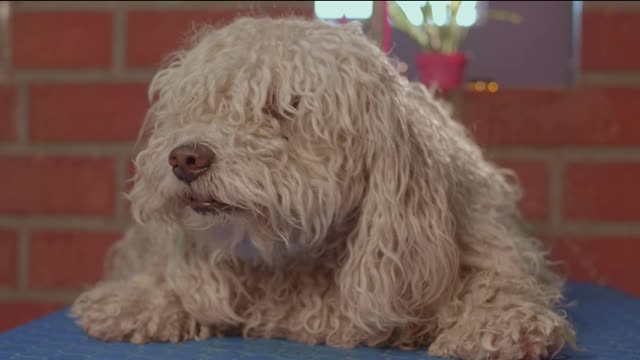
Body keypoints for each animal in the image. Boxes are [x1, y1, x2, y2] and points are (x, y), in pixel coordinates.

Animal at [70, 16, 576, 360]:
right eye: (196, 106)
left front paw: (503, 324)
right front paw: (136, 300)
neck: (299, 266)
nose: (185, 159)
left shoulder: (482, 238)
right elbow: (171, 282)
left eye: (284, 107)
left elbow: (498, 280)